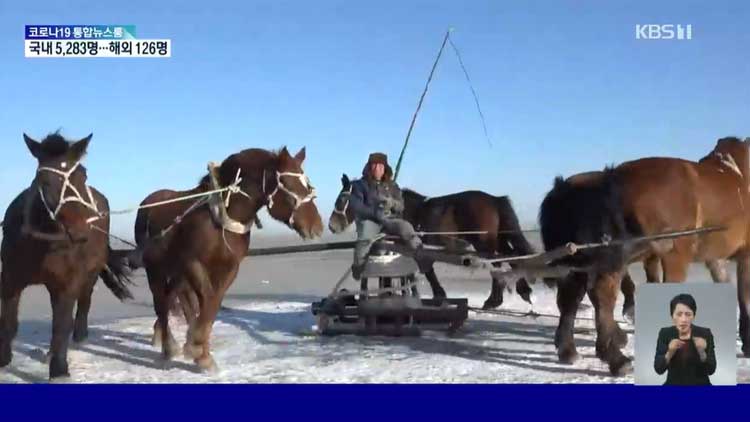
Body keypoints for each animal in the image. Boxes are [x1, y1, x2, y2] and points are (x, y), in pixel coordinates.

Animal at [0, 134, 131, 380]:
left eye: (83, 173)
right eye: (44, 179)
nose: (80, 231)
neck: (41, 241)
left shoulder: (67, 282)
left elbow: (61, 324)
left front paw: (59, 369)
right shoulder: (11, 279)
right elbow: (8, 321)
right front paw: (4, 359)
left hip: (90, 273)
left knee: (84, 301)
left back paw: (78, 337)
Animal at [135, 146, 324, 370]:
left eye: (307, 184)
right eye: (288, 184)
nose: (317, 226)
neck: (223, 215)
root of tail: (147, 204)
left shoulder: (229, 268)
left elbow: (213, 304)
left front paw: (202, 352)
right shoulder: (194, 264)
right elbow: (207, 300)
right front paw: (196, 347)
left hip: (176, 271)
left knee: (172, 298)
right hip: (155, 268)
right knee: (161, 303)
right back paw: (168, 347)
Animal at [328, 173, 536, 308]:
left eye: (341, 199)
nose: (332, 226)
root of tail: (494, 199)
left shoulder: (416, 251)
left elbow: (426, 272)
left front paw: (439, 296)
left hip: (484, 242)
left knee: (500, 262)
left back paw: (494, 300)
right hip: (496, 239)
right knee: (512, 257)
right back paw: (522, 291)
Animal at [544, 137, 750, 374]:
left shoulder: (711, 259)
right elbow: (744, 296)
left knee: (573, 297)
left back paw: (570, 349)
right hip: (657, 255)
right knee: (601, 295)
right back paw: (616, 357)